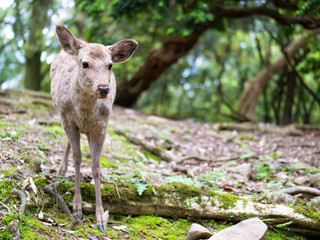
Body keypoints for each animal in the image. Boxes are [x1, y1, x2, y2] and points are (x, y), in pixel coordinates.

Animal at [49, 25, 138, 232]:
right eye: (85, 63)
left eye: (110, 65)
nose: (104, 88)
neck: (84, 113)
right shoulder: (68, 119)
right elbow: (77, 158)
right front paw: (77, 209)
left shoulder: (102, 125)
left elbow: (96, 166)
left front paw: (100, 218)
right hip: (61, 113)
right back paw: (61, 169)